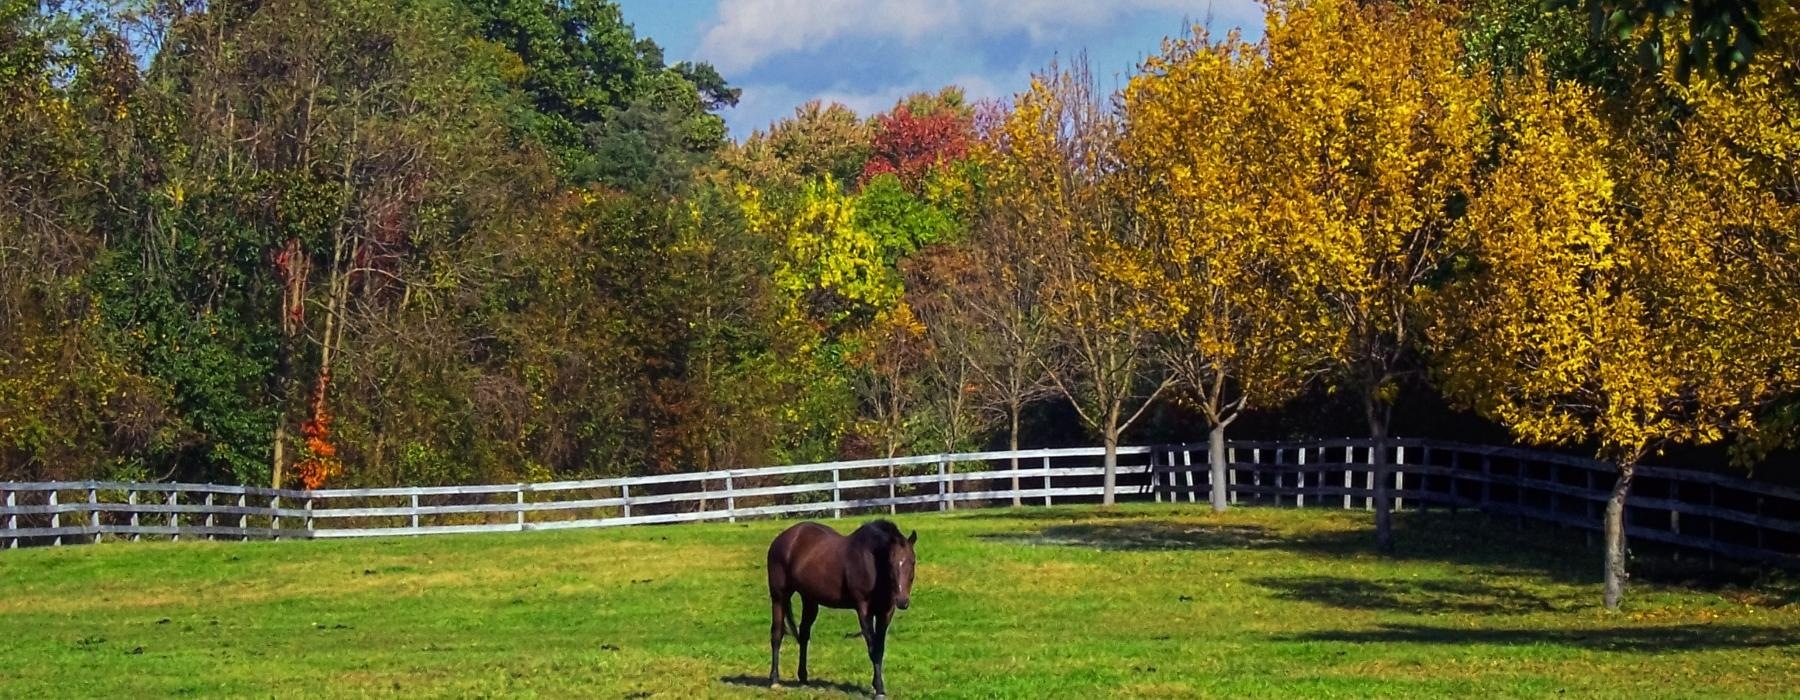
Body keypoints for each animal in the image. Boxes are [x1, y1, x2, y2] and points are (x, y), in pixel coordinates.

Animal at [766, 519, 917, 699]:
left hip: (809, 599)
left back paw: (803, 678)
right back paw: (774, 680)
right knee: (777, 634)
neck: (871, 562)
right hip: (779, 597)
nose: (902, 601)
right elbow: (873, 648)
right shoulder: (863, 610)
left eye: (913, 561)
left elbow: (880, 648)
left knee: (803, 635)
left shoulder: (886, 612)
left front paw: (878, 687)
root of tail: (781, 539)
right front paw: (878, 689)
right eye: (891, 563)